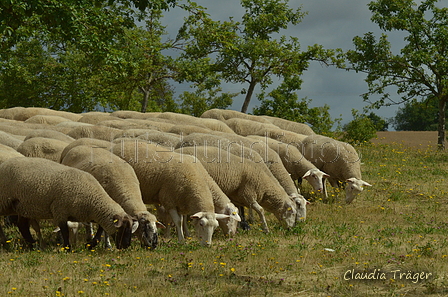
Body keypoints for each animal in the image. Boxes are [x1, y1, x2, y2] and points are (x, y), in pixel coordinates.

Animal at [0, 156, 138, 249]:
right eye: (123, 228)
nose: (126, 245)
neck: (93, 198)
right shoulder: (60, 210)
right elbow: (65, 231)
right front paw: (67, 248)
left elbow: (100, 229)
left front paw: (91, 244)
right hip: (4, 201)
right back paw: (5, 242)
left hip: (22, 205)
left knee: (22, 225)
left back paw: (31, 244)